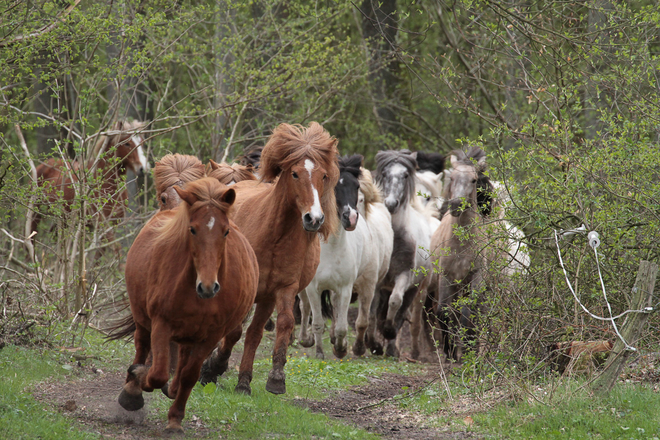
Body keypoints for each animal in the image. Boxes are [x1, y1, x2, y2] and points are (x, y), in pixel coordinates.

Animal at [116, 179, 258, 434]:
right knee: (142, 345)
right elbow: (158, 373)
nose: (208, 287)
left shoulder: (212, 335)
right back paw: (131, 392)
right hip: (143, 319)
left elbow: (189, 376)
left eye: (226, 231)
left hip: (190, 334)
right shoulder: (161, 324)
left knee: (181, 364)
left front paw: (175, 420)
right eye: (192, 229)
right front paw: (138, 379)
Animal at [199, 121, 338, 396]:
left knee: (254, 332)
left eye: (324, 176)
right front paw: (214, 366)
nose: (314, 218)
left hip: (265, 298)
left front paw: (275, 378)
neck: (275, 235)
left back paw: (243, 381)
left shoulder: (284, 288)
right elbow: (233, 331)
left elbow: (283, 324)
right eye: (295, 174)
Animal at [298, 156, 392, 360]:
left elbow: (344, 325)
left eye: (356, 186)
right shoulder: (313, 288)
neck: (330, 249)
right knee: (304, 306)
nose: (351, 218)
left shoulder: (346, 288)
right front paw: (319, 353)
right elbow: (317, 322)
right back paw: (305, 340)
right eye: (333, 186)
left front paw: (341, 349)